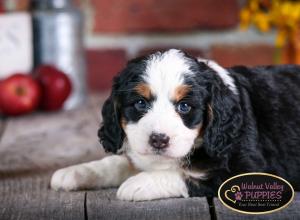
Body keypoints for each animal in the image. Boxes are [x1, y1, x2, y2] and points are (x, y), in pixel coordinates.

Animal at [51, 49, 300, 200]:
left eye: (184, 107)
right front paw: (75, 172)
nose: (159, 140)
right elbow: (117, 162)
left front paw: (138, 184)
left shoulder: (251, 168)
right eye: (140, 103)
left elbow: (187, 176)